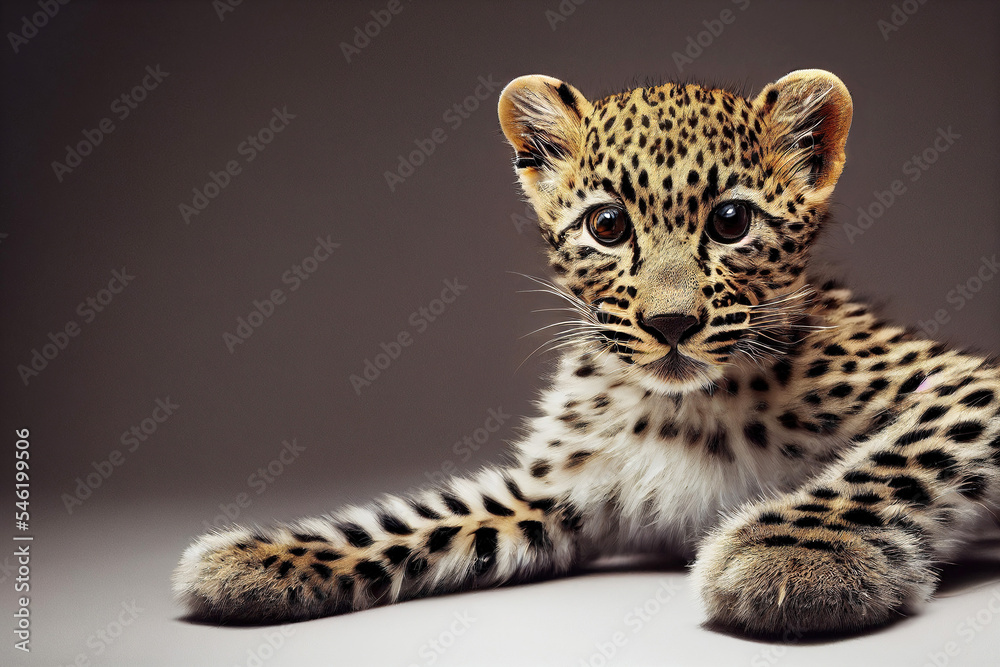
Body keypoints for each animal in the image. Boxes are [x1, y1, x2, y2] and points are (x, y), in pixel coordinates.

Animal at [174, 69, 1000, 637]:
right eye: (607, 226)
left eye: (731, 221)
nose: (671, 323)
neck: (685, 408)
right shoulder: (553, 491)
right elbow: (421, 520)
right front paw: (261, 561)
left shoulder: (970, 383)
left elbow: (898, 456)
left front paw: (795, 558)